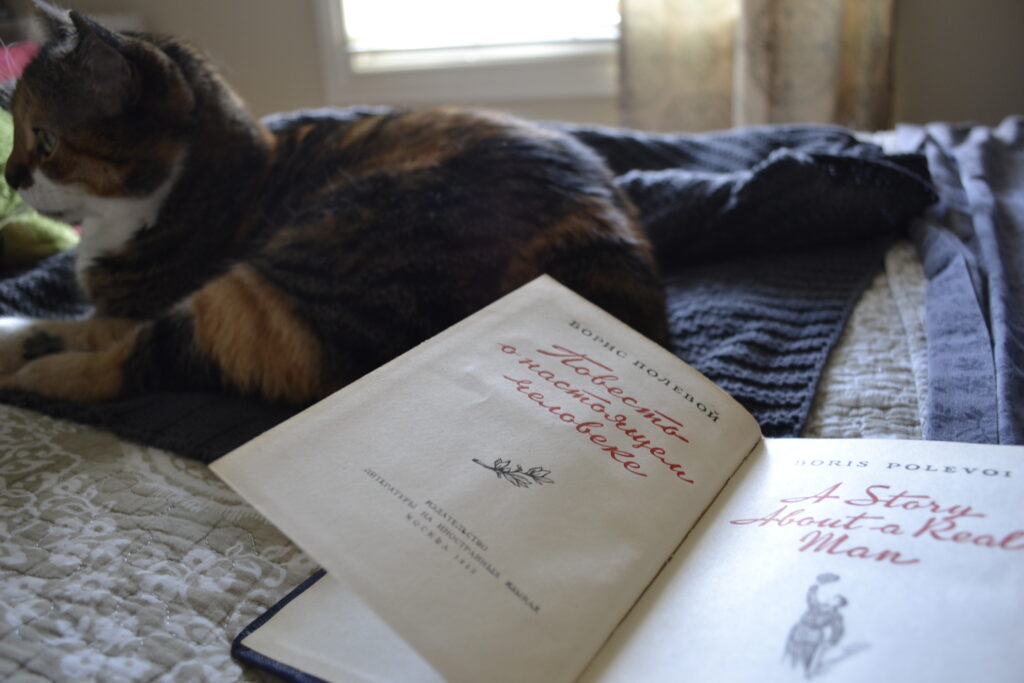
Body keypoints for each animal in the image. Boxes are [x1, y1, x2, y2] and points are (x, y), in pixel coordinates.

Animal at [0, 3, 667, 405]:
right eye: (16, 131)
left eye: (45, 139)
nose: (8, 175)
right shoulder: (116, 307)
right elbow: (73, 323)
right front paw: (26, 331)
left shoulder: (144, 301)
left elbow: (98, 333)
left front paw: (26, 348)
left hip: (290, 279)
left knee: (143, 360)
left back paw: (36, 377)